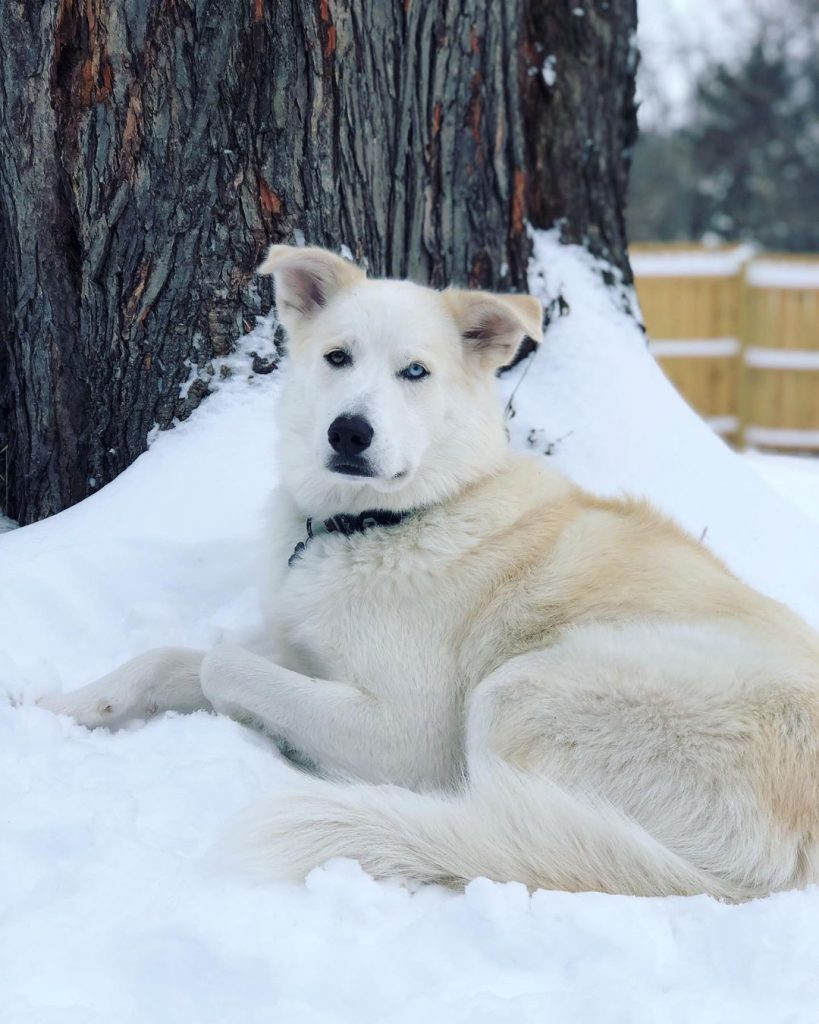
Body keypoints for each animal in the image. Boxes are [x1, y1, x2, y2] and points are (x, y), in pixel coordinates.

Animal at [39, 243, 819, 901]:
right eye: (337, 357)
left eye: (415, 372)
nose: (349, 432)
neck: (387, 521)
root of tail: (759, 868)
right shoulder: (304, 651)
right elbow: (174, 658)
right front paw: (64, 706)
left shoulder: (401, 733)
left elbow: (218, 665)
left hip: (516, 689)